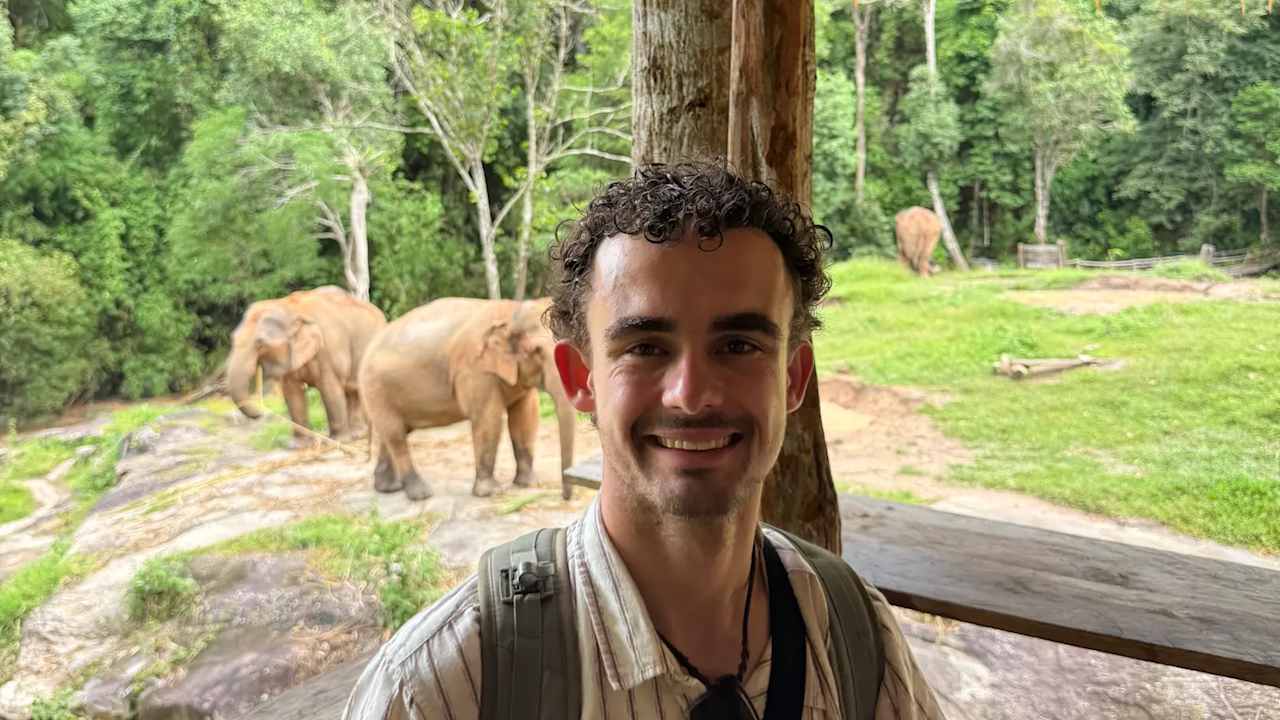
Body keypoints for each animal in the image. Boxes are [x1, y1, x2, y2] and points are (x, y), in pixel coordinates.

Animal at [228, 286, 388, 444]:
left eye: (260, 343)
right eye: (233, 338)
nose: (261, 413)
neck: (288, 307)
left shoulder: (328, 349)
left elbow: (330, 390)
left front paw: (338, 441)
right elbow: (292, 393)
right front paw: (297, 444)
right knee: (352, 392)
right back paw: (358, 434)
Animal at [358, 297, 576, 501]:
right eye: (537, 350)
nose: (564, 497)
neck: (512, 311)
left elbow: (525, 416)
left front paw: (528, 484)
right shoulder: (475, 369)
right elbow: (488, 418)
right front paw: (491, 492)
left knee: (393, 433)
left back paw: (388, 488)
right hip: (375, 389)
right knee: (395, 435)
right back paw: (420, 494)